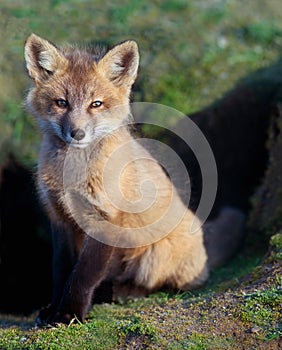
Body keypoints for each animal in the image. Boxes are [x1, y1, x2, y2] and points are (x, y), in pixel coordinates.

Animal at [24, 34, 245, 324]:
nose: (77, 133)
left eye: (96, 104)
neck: (72, 178)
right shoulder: (60, 218)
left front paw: (69, 312)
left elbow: (82, 276)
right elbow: (61, 271)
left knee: (172, 284)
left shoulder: (105, 219)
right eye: (62, 102)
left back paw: (125, 292)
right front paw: (52, 309)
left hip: (155, 254)